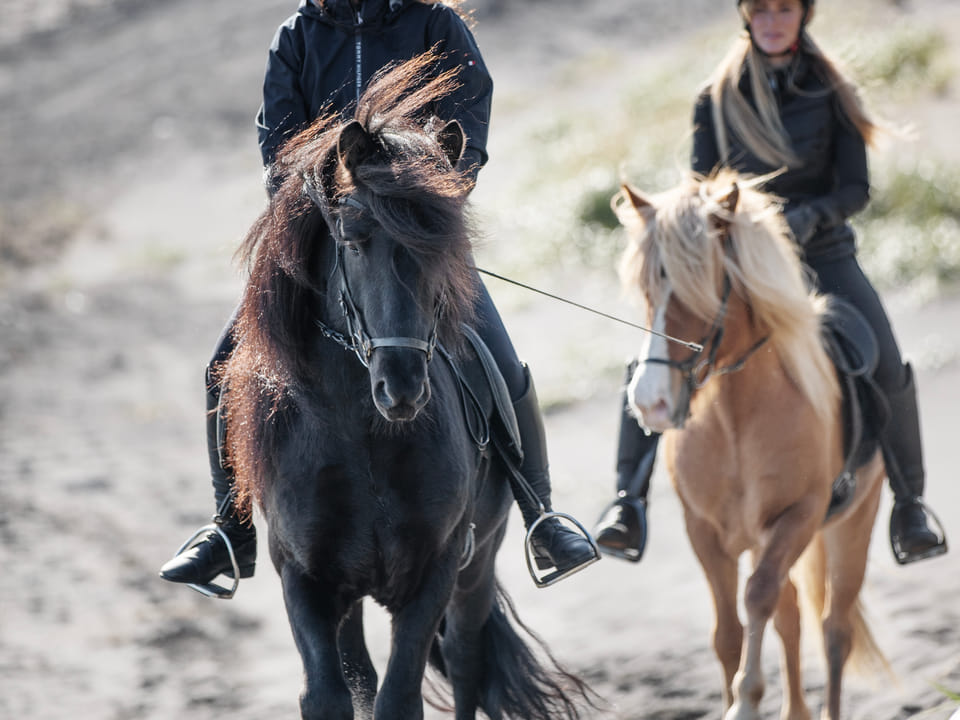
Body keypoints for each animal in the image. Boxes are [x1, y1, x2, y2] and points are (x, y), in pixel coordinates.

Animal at [614, 170, 891, 720]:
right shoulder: (703, 531)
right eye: (647, 291)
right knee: (793, 616)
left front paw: (744, 700)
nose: (651, 403)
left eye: (700, 291)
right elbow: (727, 632)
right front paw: (735, 696)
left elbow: (757, 597)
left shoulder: (797, 517)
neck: (733, 421)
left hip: (851, 525)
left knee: (834, 628)